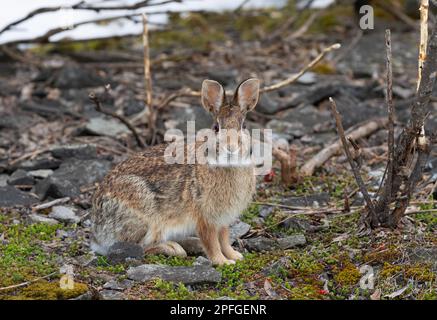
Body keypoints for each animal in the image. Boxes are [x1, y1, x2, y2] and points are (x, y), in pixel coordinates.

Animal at [89, 77, 258, 264]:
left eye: (243, 126)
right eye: (216, 127)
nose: (231, 148)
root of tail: (97, 234)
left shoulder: (223, 220)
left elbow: (224, 239)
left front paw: (235, 256)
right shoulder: (205, 219)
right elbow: (212, 243)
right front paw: (223, 262)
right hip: (144, 217)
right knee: (140, 246)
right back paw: (173, 248)